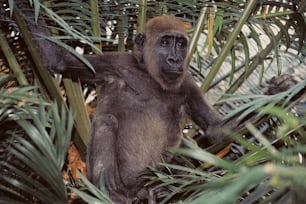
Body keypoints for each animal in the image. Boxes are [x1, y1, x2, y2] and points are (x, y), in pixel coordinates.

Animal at [16, 4, 227, 202]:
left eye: (181, 44)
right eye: (165, 42)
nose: (175, 59)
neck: (149, 74)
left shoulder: (188, 85)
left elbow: (216, 129)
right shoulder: (116, 63)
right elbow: (59, 60)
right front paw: (22, 8)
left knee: (184, 144)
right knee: (106, 122)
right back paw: (112, 192)